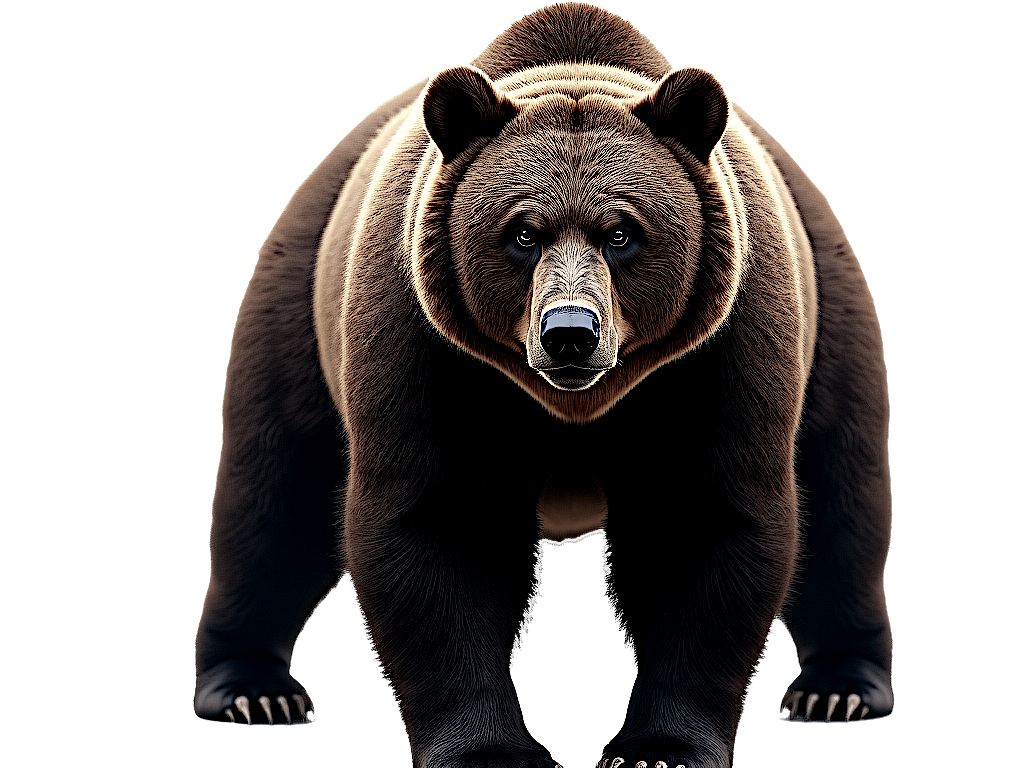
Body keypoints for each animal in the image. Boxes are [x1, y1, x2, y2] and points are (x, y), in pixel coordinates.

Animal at [195, 3, 893, 767]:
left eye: (622, 232)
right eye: (522, 232)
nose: (569, 333)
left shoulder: (717, 355)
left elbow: (704, 519)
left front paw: (657, 745)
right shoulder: (428, 350)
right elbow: (440, 522)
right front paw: (490, 748)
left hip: (831, 316)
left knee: (843, 494)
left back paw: (840, 689)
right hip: (298, 308)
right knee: (275, 492)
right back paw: (252, 691)